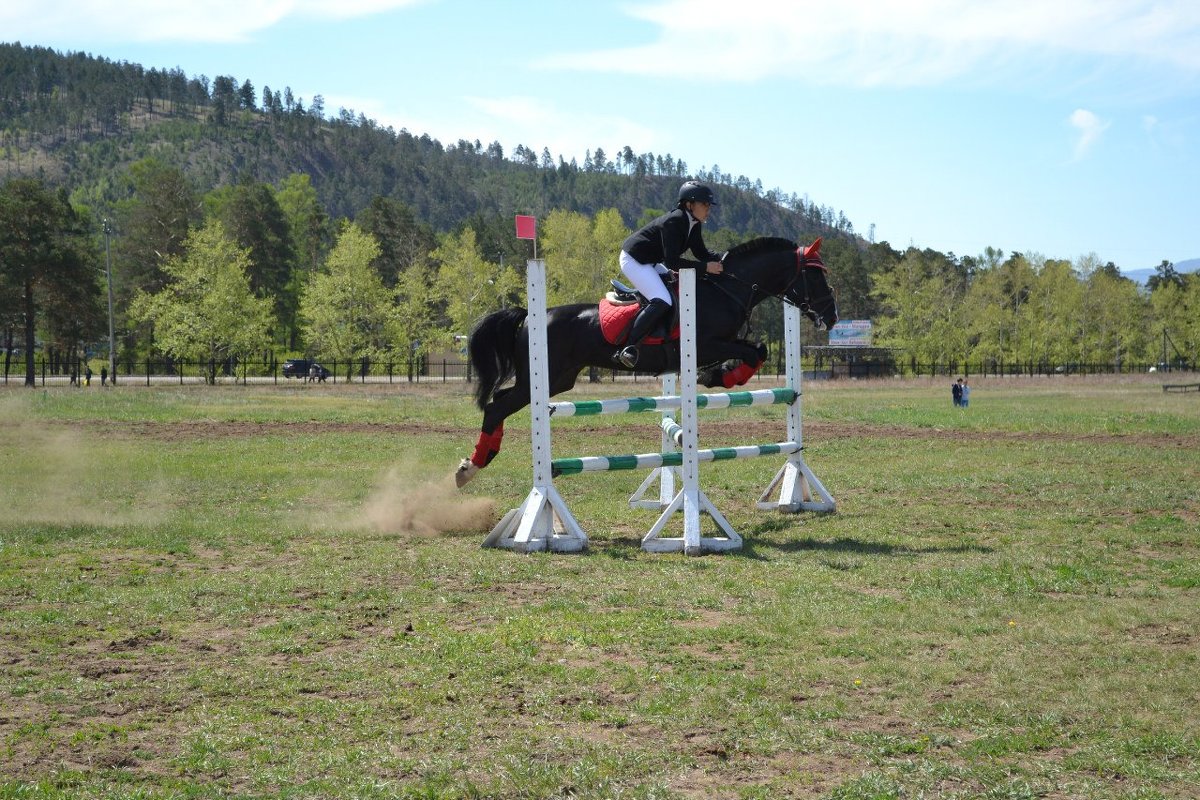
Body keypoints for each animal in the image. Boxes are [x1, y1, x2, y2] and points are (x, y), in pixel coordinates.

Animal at [453, 236, 840, 489]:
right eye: (815, 275)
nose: (832, 317)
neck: (725, 289)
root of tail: (529, 316)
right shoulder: (707, 344)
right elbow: (752, 352)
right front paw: (720, 377)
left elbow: (757, 349)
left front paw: (723, 376)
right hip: (541, 378)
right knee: (496, 406)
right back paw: (470, 467)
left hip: (559, 379)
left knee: (499, 401)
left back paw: (480, 459)